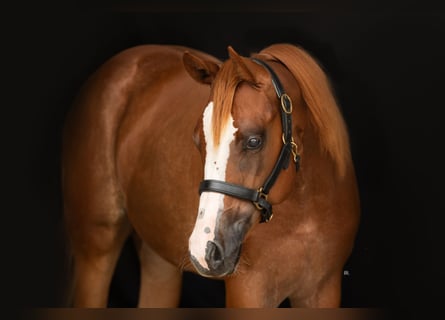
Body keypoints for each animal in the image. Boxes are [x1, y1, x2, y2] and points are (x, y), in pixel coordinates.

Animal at [62, 43, 360, 308]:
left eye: (254, 141)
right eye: (199, 140)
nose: (204, 248)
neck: (305, 213)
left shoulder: (323, 290)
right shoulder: (248, 291)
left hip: (158, 258)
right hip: (96, 248)